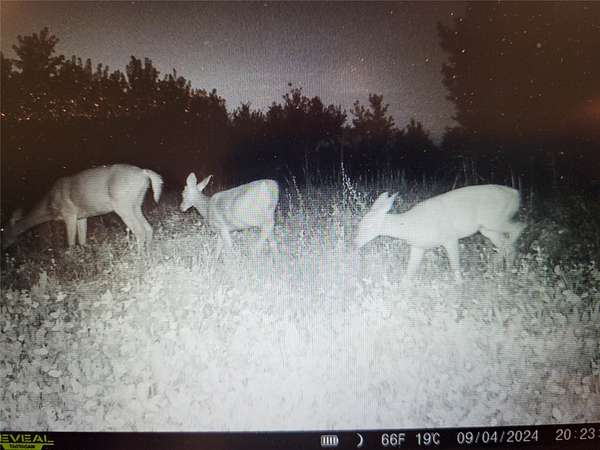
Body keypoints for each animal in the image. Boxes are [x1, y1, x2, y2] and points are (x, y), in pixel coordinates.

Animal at [1, 164, 163, 251]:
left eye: (2, 230)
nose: (3, 245)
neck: (50, 206)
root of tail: (143, 173)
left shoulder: (69, 214)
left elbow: (71, 243)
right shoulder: (82, 216)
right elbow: (83, 240)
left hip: (123, 204)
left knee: (140, 231)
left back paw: (139, 258)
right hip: (136, 202)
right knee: (148, 228)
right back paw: (148, 255)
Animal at [354, 184, 526, 282]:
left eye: (368, 225)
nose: (355, 243)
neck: (410, 226)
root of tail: (516, 193)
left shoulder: (450, 237)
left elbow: (455, 267)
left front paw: (459, 291)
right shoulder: (418, 247)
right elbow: (409, 274)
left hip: (494, 220)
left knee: (519, 227)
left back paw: (493, 265)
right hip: (488, 228)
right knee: (509, 245)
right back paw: (504, 273)